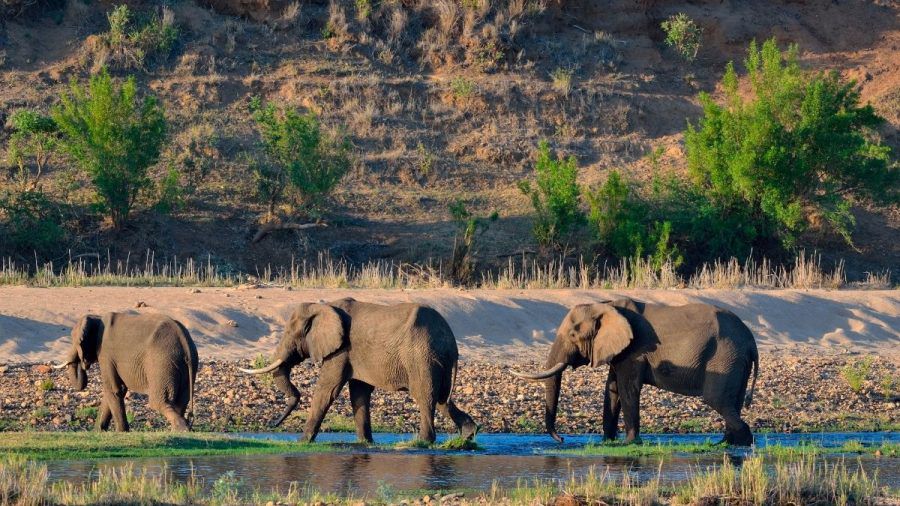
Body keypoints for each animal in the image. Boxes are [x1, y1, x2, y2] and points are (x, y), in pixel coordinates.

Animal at [53, 312, 198, 430]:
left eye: (76, 341)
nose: (83, 364)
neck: (97, 318)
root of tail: (184, 341)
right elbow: (116, 390)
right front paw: (99, 431)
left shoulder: (106, 353)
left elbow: (113, 390)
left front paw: (121, 431)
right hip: (183, 364)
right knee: (181, 401)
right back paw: (179, 429)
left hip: (161, 363)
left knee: (158, 402)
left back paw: (182, 430)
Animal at [239, 296, 478, 442]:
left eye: (291, 334)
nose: (273, 424)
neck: (322, 306)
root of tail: (451, 341)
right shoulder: (353, 354)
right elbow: (359, 393)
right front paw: (365, 443)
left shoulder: (341, 350)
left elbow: (327, 390)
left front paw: (302, 442)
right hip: (436, 360)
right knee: (442, 399)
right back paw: (469, 435)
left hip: (421, 357)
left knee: (425, 396)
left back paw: (422, 442)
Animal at [512, 298, 760, 444]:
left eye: (573, 335)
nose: (562, 439)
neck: (606, 305)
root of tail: (751, 341)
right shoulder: (619, 351)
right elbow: (612, 389)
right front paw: (608, 443)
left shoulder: (635, 350)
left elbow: (627, 388)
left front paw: (629, 443)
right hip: (735, 360)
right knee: (732, 402)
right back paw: (728, 443)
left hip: (725, 355)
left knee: (716, 399)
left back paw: (740, 443)